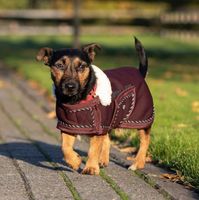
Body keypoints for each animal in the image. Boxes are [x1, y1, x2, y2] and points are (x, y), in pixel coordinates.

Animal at [36, 37, 154, 175]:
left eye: (82, 66)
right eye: (59, 65)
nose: (70, 86)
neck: (76, 100)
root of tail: (140, 74)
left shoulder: (98, 126)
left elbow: (94, 148)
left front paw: (91, 167)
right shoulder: (68, 125)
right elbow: (65, 147)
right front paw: (75, 161)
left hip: (142, 118)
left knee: (145, 140)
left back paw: (137, 164)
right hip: (109, 120)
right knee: (107, 138)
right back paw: (103, 160)